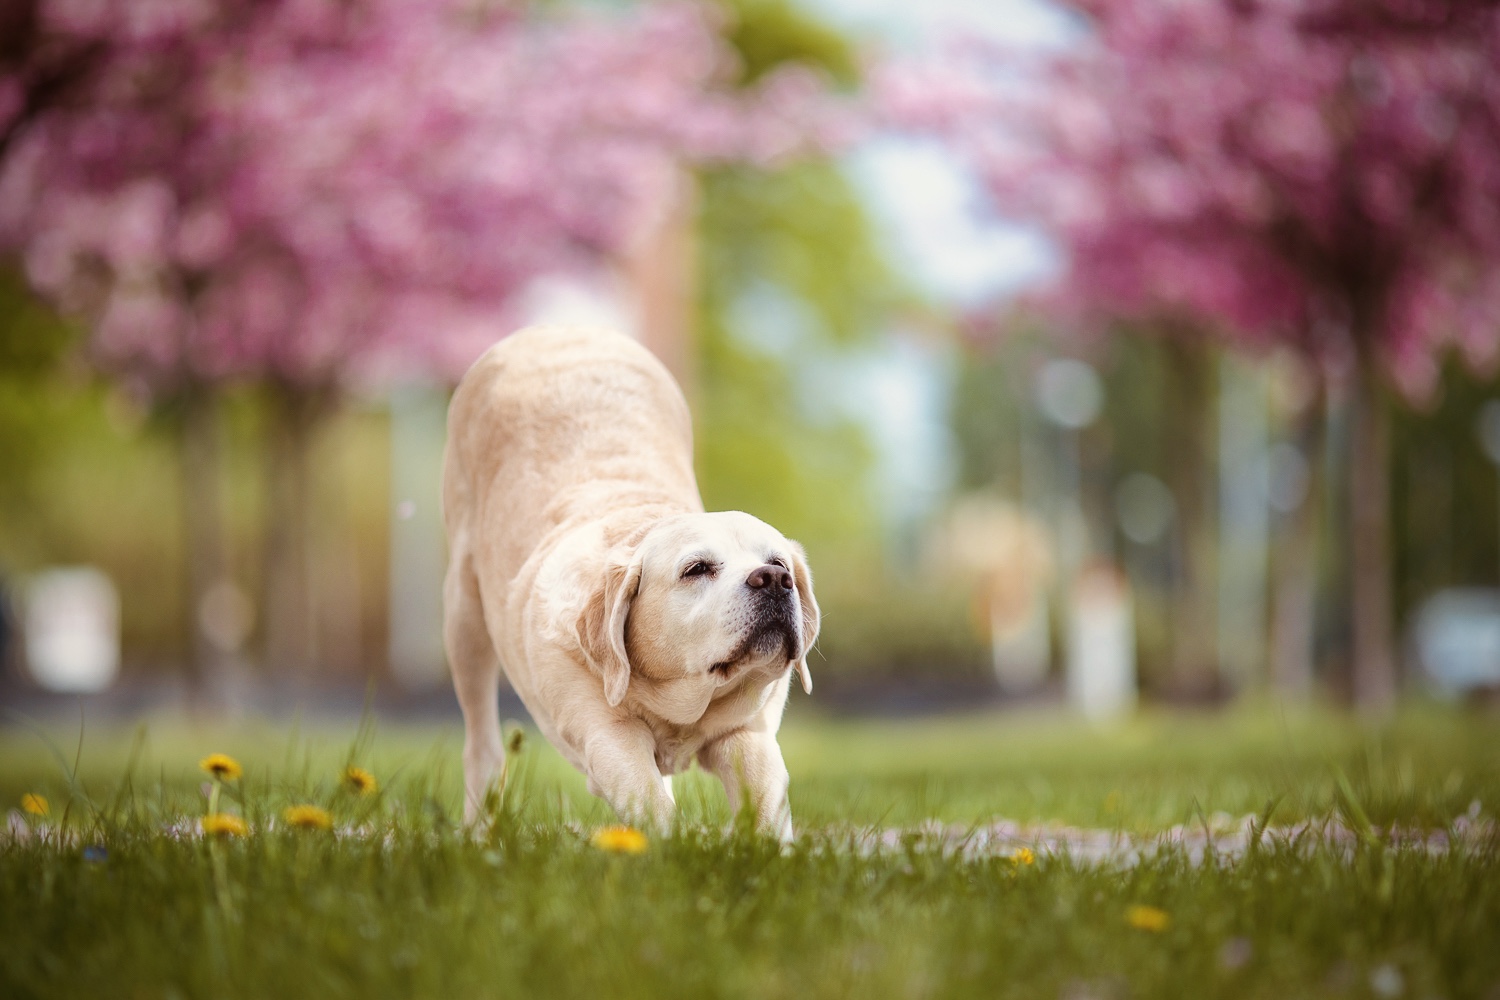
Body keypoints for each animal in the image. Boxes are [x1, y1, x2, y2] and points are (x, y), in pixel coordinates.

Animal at [441, 326, 822, 839]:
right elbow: (650, 803)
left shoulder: (748, 733)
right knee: (480, 735)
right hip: (464, 615)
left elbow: (765, 803)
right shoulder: (607, 734)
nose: (775, 579)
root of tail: (556, 328)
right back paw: (480, 826)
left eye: (778, 561)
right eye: (697, 568)